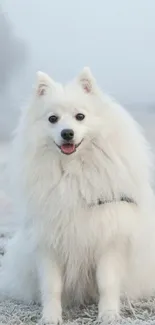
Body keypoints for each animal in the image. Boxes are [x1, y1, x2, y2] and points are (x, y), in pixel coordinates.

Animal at [0, 67, 155, 322]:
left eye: (80, 116)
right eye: (52, 119)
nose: (67, 133)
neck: (73, 173)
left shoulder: (109, 240)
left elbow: (107, 283)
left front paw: (108, 316)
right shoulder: (49, 244)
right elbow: (51, 287)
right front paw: (50, 318)